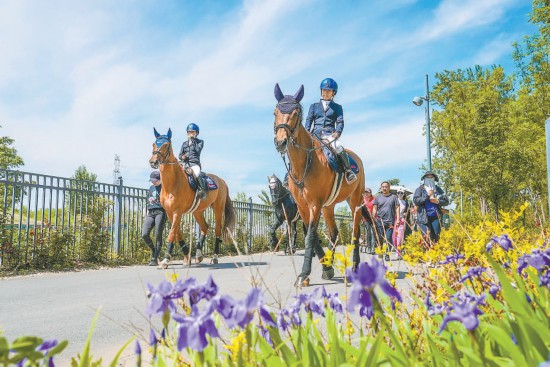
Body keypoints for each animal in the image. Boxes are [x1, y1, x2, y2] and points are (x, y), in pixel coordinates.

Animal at [150, 129, 236, 268]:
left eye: (166, 145)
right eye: (154, 144)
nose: (153, 162)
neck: (172, 183)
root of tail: (221, 180)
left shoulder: (177, 212)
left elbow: (172, 234)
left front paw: (165, 260)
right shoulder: (170, 213)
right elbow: (177, 233)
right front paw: (186, 257)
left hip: (218, 209)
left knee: (217, 230)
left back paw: (215, 257)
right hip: (198, 212)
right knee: (204, 227)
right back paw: (199, 255)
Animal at [272, 84, 366, 288]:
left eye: (296, 112)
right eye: (275, 112)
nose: (281, 142)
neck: (304, 163)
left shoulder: (314, 204)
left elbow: (309, 236)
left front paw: (303, 275)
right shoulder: (303, 206)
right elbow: (313, 235)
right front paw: (326, 267)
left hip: (355, 202)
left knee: (355, 233)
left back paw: (355, 267)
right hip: (328, 207)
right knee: (334, 233)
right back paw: (330, 263)